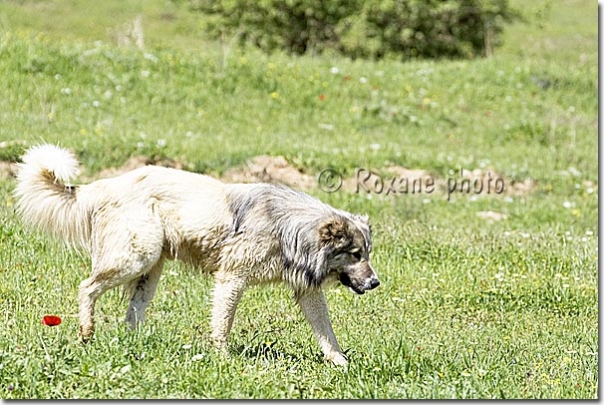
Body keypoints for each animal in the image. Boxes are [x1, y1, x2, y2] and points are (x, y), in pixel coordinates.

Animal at [14, 144, 378, 364]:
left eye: (366, 253)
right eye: (354, 254)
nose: (375, 283)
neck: (289, 228)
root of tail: (105, 185)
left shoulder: (307, 291)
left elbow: (326, 332)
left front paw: (341, 364)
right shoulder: (231, 279)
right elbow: (223, 322)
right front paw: (223, 358)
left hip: (150, 270)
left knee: (131, 315)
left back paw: (137, 346)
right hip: (135, 257)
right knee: (86, 287)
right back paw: (87, 332)